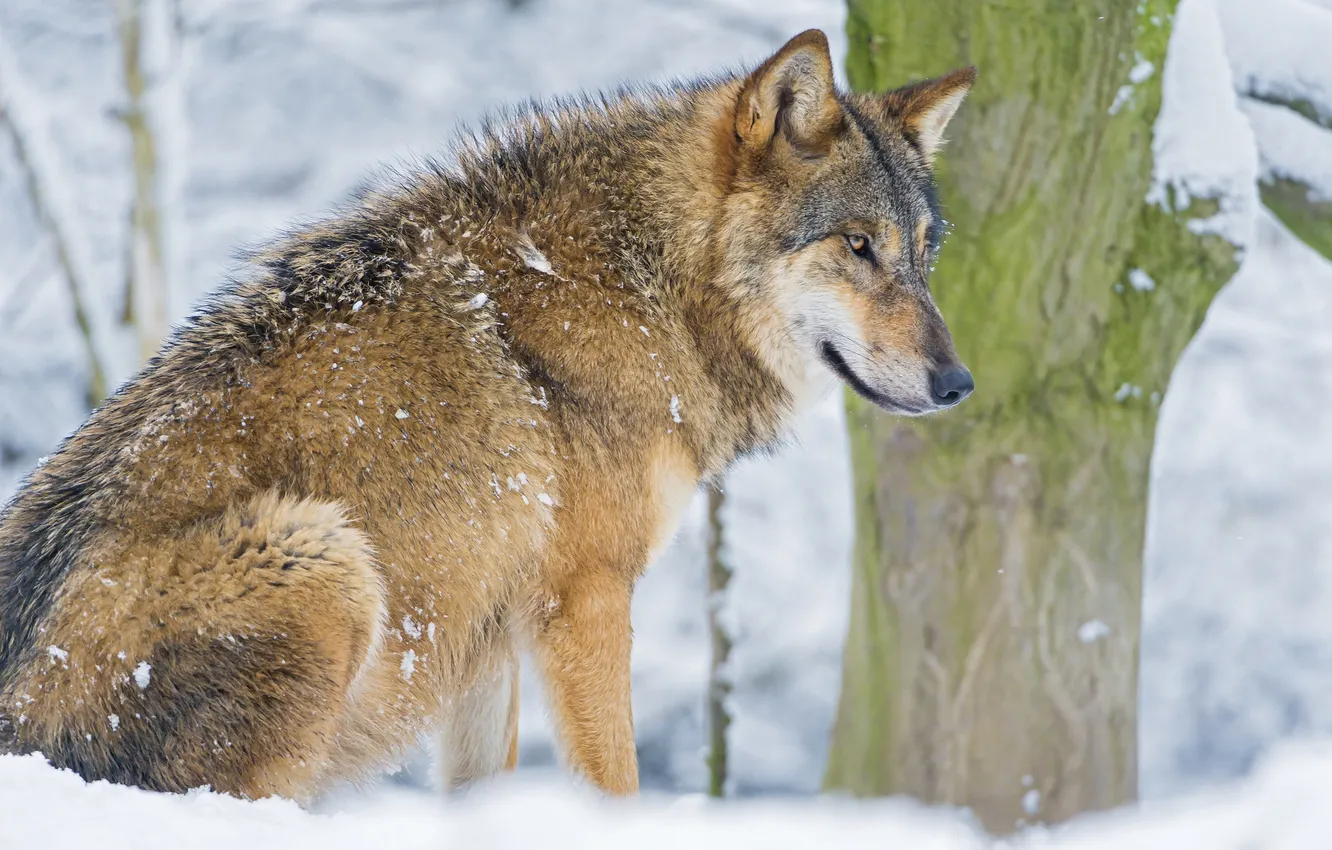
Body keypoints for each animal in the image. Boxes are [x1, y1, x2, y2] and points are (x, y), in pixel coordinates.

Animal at [2, 29, 980, 804]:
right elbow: (616, 784)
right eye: (859, 246)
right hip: (323, 556)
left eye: (924, 253)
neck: (649, 284)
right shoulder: (584, 599)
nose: (959, 382)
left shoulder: (485, 641)